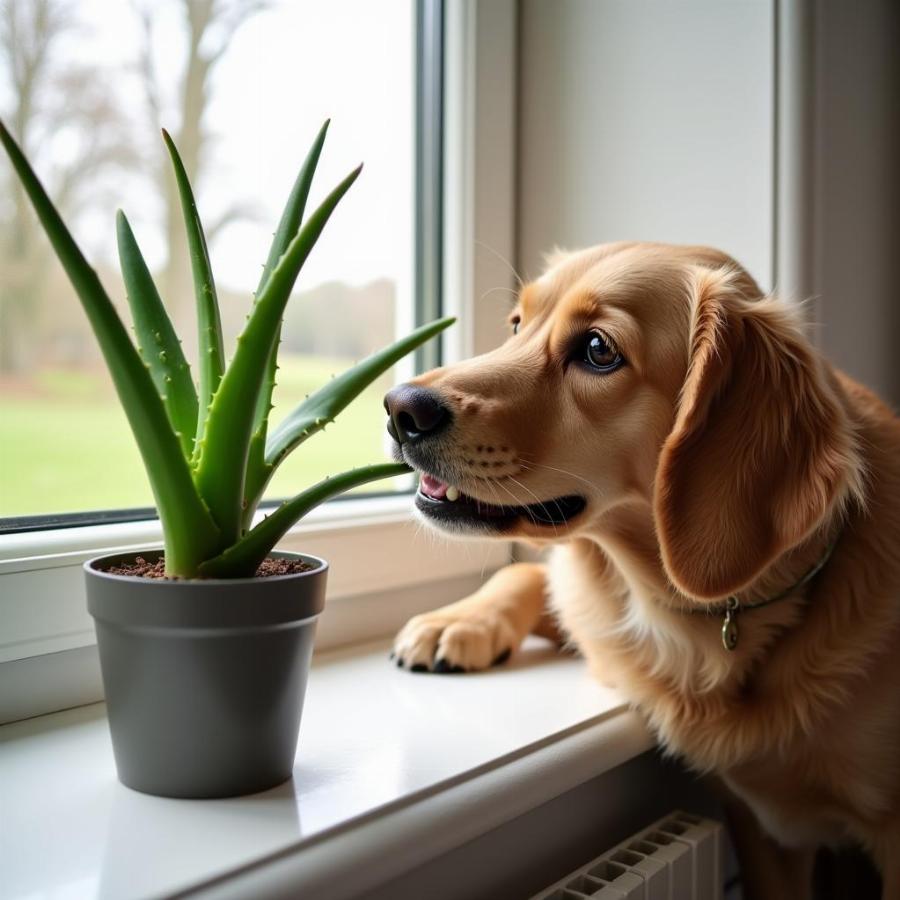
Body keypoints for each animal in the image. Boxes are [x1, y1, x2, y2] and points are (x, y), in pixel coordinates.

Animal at [384, 243, 900, 896]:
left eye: (598, 349)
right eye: (517, 325)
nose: (400, 408)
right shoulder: (763, 834)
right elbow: (524, 573)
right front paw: (455, 621)